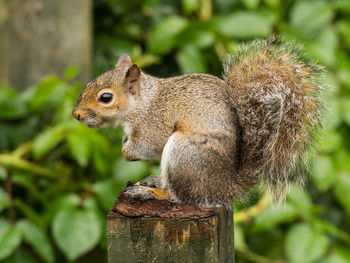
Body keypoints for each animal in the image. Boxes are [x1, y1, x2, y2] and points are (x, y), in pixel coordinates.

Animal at [72, 37, 324, 210]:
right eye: (89, 83)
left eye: (106, 98)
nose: (76, 114)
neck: (142, 103)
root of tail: (224, 188)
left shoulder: (155, 124)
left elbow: (148, 145)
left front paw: (127, 151)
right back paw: (155, 182)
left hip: (185, 154)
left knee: (182, 197)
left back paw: (150, 193)